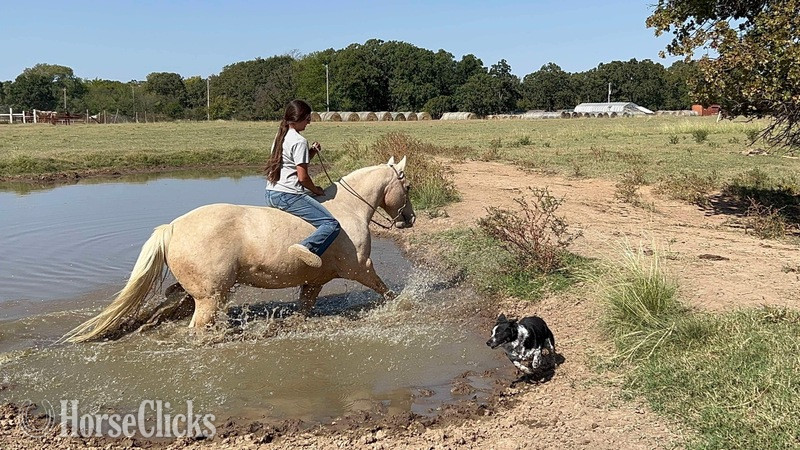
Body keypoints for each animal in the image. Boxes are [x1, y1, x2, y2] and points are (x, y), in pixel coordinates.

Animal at [61, 156, 415, 343]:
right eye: (408, 186)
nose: (409, 219)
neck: (349, 210)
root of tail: (172, 228)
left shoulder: (313, 282)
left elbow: (304, 308)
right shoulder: (361, 268)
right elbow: (384, 290)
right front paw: (407, 305)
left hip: (197, 293)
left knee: (168, 308)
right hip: (210, 297)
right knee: (195, 328)